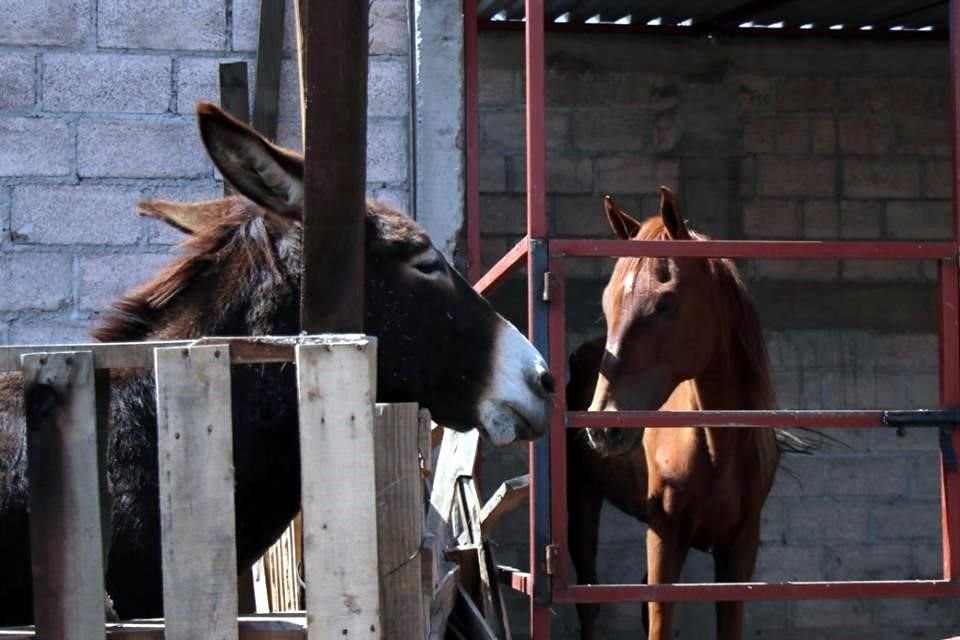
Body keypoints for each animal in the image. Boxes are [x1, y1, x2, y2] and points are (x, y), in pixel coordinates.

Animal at [568, 186, 784, 640]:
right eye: (608, 302)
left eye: (665, 302)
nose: (604, 426)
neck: (719, 445)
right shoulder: (665, 539)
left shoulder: (739, 550)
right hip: (582, 500)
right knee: (589, 601)